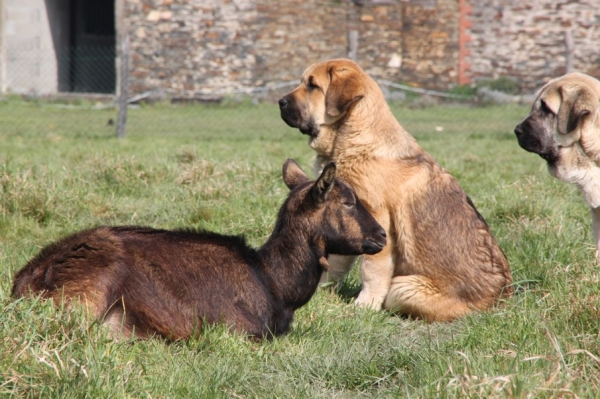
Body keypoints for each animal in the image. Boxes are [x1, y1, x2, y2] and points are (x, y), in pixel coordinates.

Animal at [12, 159, 384, 340]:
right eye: (349, 201)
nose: (381, 235)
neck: (276, 287)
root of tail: (24, 283)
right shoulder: (237, 331)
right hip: (90, 294)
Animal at [278, 58, 512, 322]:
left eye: (312, 85)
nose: (280, 102)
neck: (354, 139)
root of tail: (501, 301)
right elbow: (337, 259)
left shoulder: (378, 220)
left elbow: (371, 269)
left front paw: (364, 306)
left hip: (403, 287)